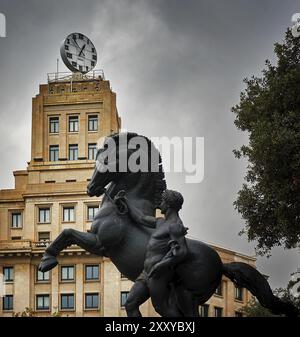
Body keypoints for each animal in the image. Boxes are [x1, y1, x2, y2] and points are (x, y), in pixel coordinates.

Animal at [39, 133, 298, 316]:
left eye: (105, 160)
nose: (90, 188)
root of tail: (221, 265)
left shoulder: (101, 243)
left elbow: (67, 232)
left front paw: (47, 260)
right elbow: (67, 233)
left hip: (184, 294)